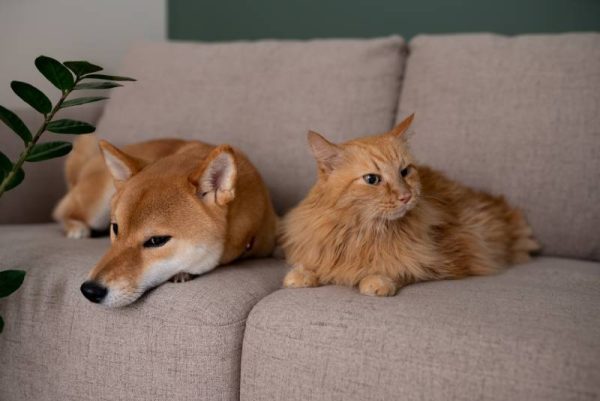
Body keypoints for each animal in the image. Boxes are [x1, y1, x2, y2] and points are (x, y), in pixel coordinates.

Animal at [54, 134, 276, 306]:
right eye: (116, 228)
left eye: (156, 241)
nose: (90, 290)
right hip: (96, 206)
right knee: (62, 211)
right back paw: (77, 227)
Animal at [280, 114, 540, 296]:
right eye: (372, 179)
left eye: (404, 171)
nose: (405, 196)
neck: (362, 232)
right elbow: (313, 263)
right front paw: (301, 274)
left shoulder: (444, 258)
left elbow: (401, 266)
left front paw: (377, 279)